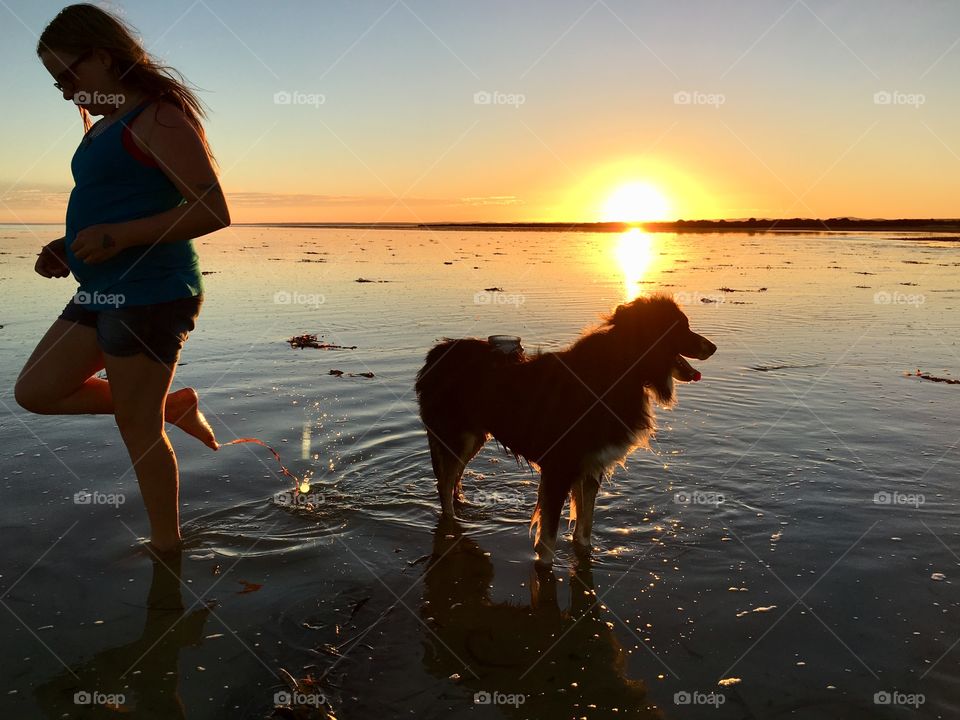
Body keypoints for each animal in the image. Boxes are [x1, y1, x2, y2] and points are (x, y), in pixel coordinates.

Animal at [416, 294, 716, 568]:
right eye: (681, 327)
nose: (712, 347)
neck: (622, 368)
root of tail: (435, 353)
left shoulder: (590, 466)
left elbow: (584, 528)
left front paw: (584, 557)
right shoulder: (559, 468)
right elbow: (548, 537)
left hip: (472, 437)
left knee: (452, 480)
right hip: (457, 437)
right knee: (444, 485)